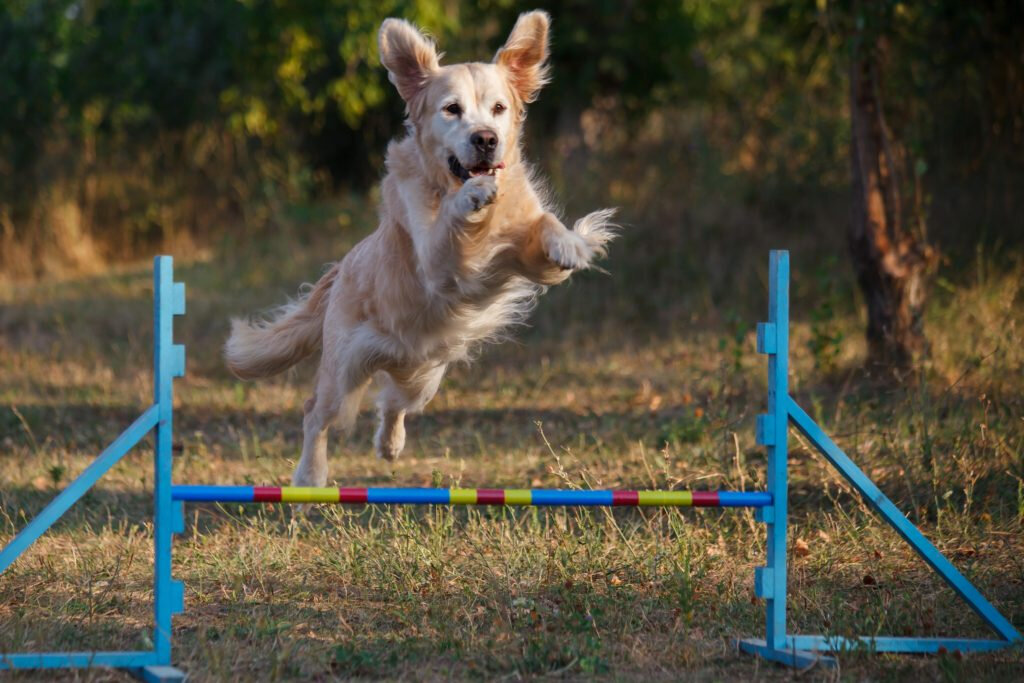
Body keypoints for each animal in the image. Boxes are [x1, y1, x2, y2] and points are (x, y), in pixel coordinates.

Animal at [224, 12, 614, 491]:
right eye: (452, 109)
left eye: (499, 109)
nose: (486, 139)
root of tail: (342, 268)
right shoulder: (436, 263)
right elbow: (449, 223)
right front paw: (472, 194)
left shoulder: (518, 250)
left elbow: (542, 226)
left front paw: (569, 242)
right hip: (345, 366)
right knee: (317, 412)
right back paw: (309, 475)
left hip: (424, 371)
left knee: (394, 402)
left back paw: (389, 446)